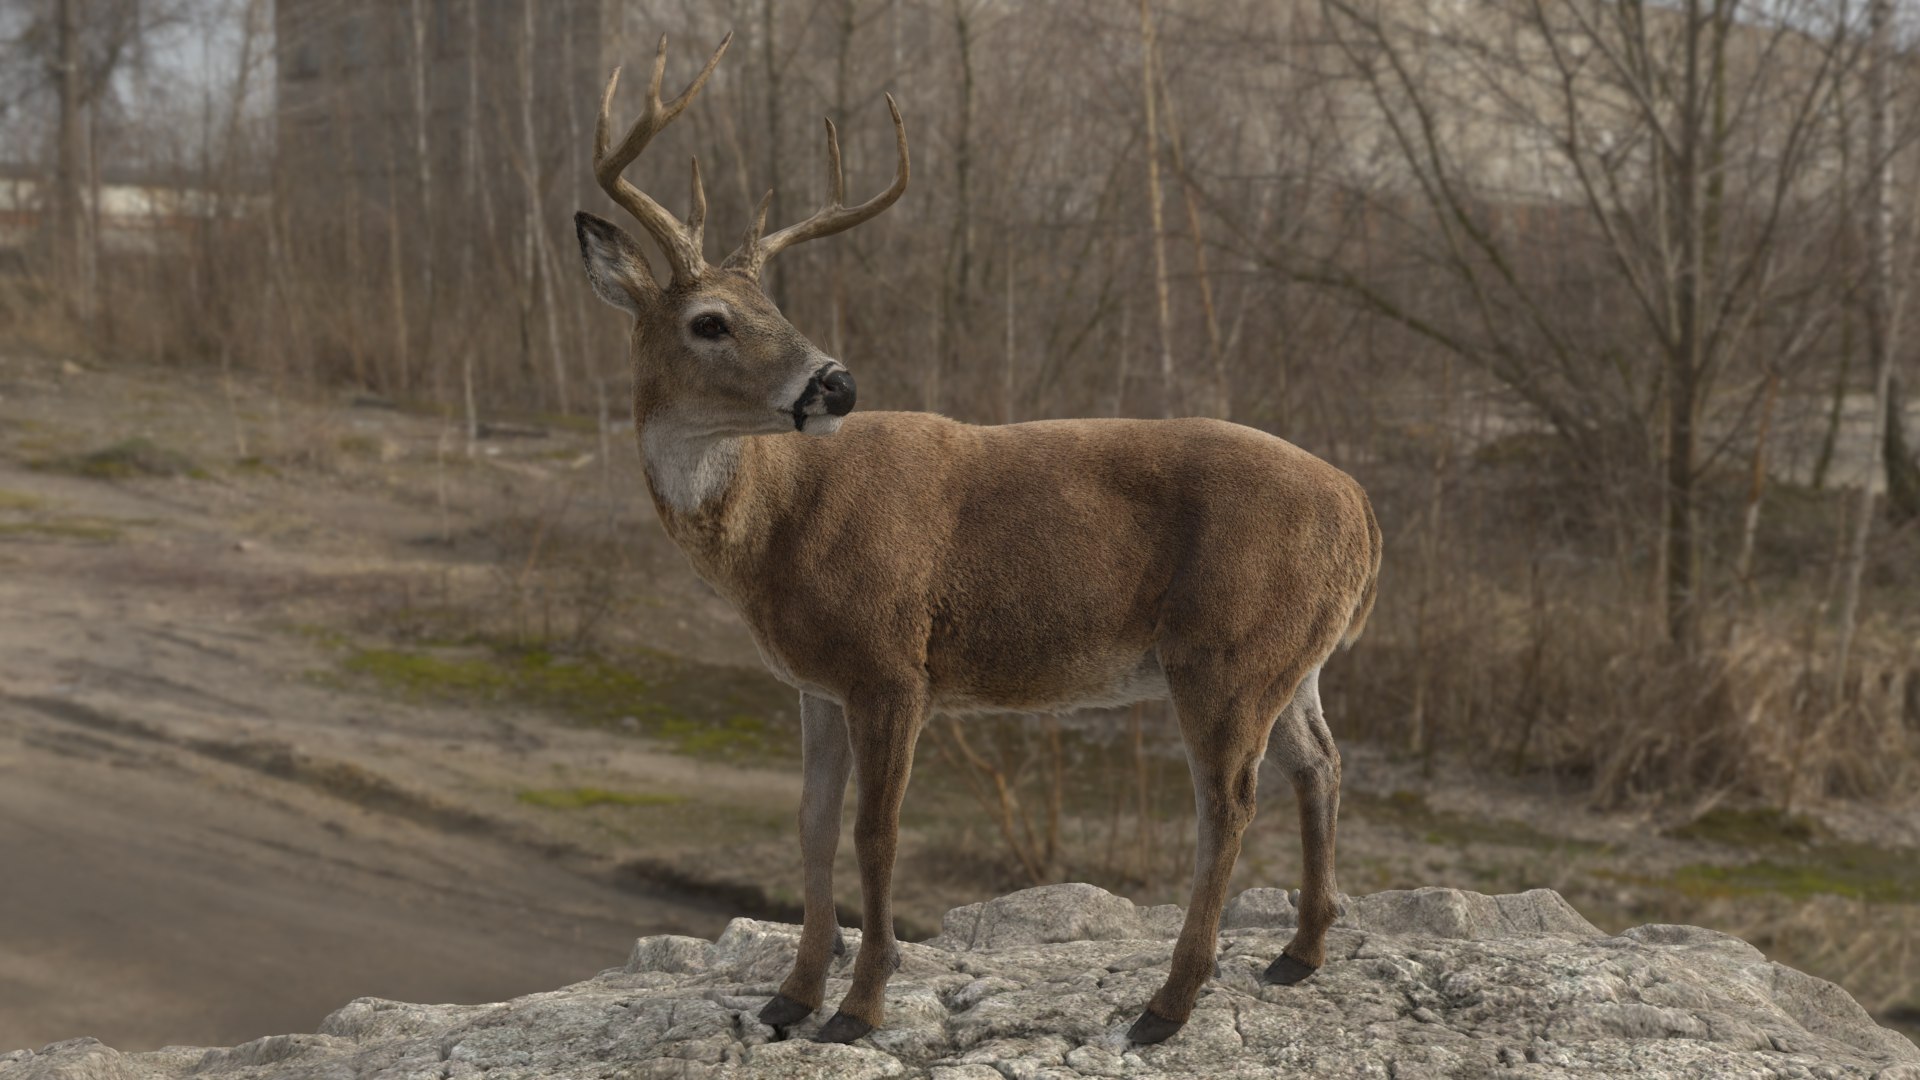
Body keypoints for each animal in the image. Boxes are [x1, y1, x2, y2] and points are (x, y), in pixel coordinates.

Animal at [574, 34, 1382, 1047]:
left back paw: (1167, 1005)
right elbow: (809, 823)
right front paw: (789, 997)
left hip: (1225, 650)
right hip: (1290, 656)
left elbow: (876, 832)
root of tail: (1362, 506)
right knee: (1321, 761)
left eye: (776, 311)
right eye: (709, 321)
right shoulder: (814, 682)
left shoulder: (893, 664)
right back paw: (1296, 955)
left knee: (1227, 803)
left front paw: (860, 1007)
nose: (835, 383)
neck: (774, 530)